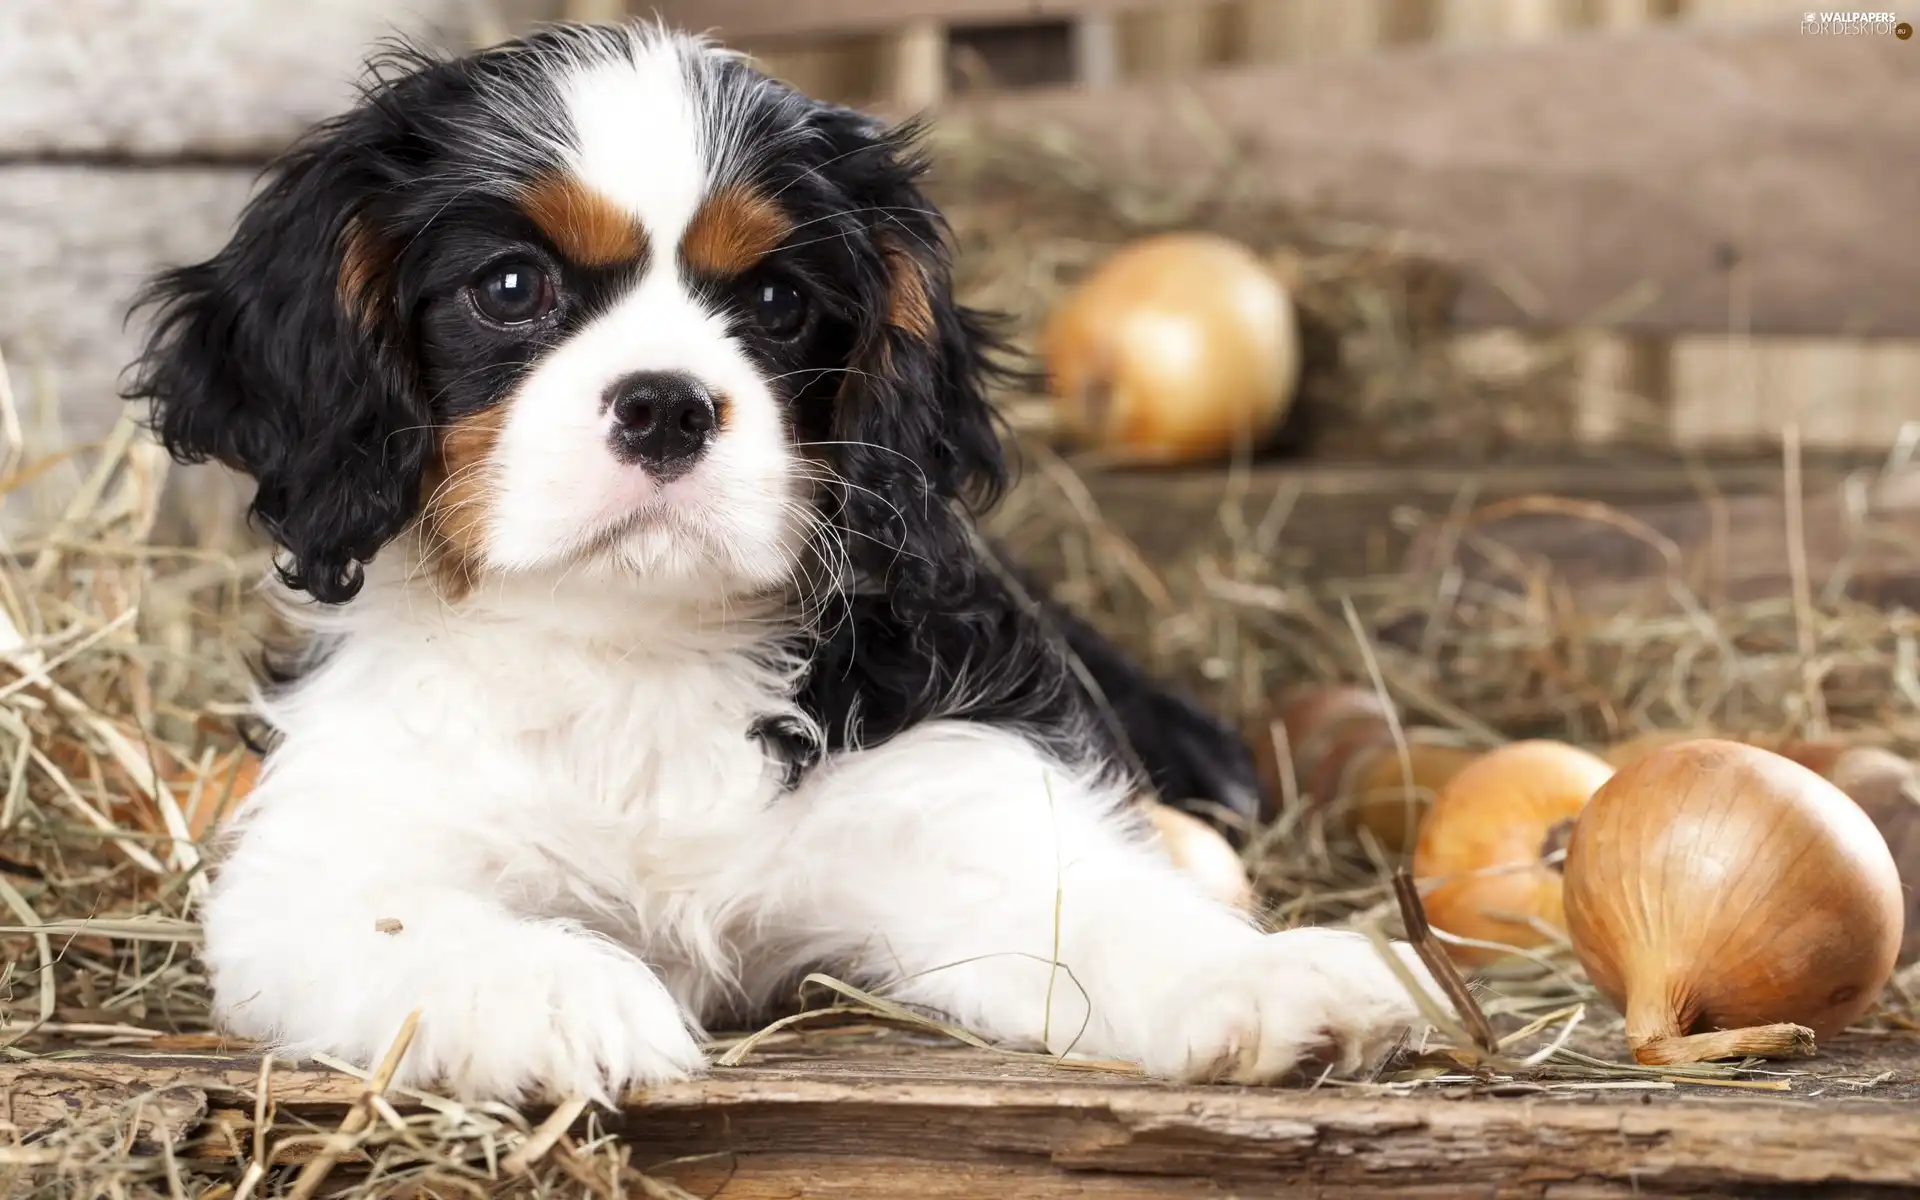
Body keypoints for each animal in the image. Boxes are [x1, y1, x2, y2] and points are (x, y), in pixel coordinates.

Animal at [127, 21, 1436, 1105]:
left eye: (773, 297)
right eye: (508, 286)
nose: (664, 406)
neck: (638, 642)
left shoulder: (951, 791)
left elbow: (1095, 906)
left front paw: (1267, 981)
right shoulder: (330, 857)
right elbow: (406, 922)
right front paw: (551, 991)